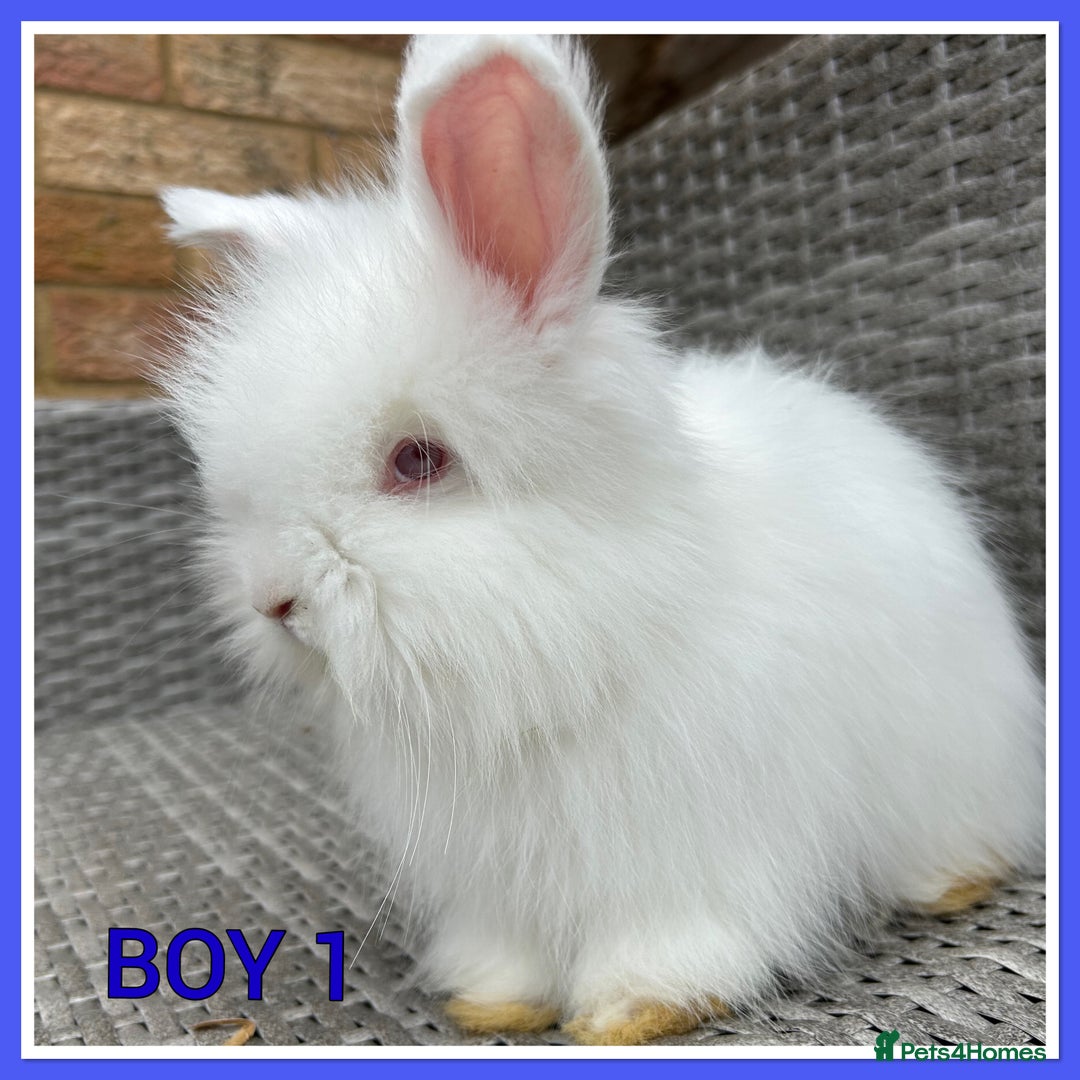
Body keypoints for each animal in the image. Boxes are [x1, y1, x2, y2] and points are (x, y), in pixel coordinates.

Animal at [157, 34, 1044, 1045]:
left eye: (417, 460)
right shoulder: (498, 879)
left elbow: (671, 940)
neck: (583, 638)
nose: (273, 601)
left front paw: (633, 1010)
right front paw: (493, 1002)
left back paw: (951, 884)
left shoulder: (691, 854)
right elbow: (509, 952)